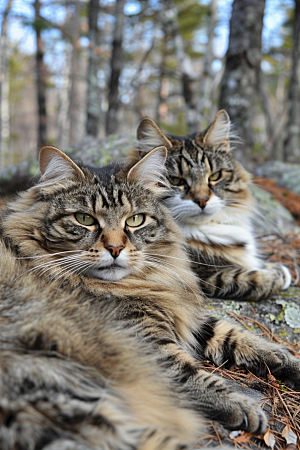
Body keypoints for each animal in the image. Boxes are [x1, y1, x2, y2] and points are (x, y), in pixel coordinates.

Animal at [0, 146, 300, 448]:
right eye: (85, 220)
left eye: (135, 220)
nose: (115, 249)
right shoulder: (147, 340)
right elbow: (195, 375)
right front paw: (243, 407)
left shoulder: (183, 314)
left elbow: (239, 336)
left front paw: (288, 361)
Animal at [135, 109, 290, 300]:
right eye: (175, 180)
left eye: (215, 176)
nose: (202, 200)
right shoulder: (205, 276)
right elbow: (254, 278)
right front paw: (275, 273)